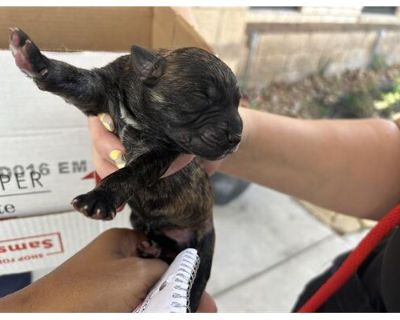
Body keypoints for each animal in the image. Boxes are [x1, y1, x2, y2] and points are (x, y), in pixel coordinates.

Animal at [8, 28, 241, 312]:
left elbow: (130, 172)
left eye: (238, 103)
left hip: (204, 243)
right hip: (139, 221)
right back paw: (153, 250)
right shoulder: (96, 92)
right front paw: (32, 58)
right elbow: (70, 78)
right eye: (200, 99)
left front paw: (100, 197)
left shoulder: (159, 154)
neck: (141, 113)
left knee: (197, 279)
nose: (237, 136)